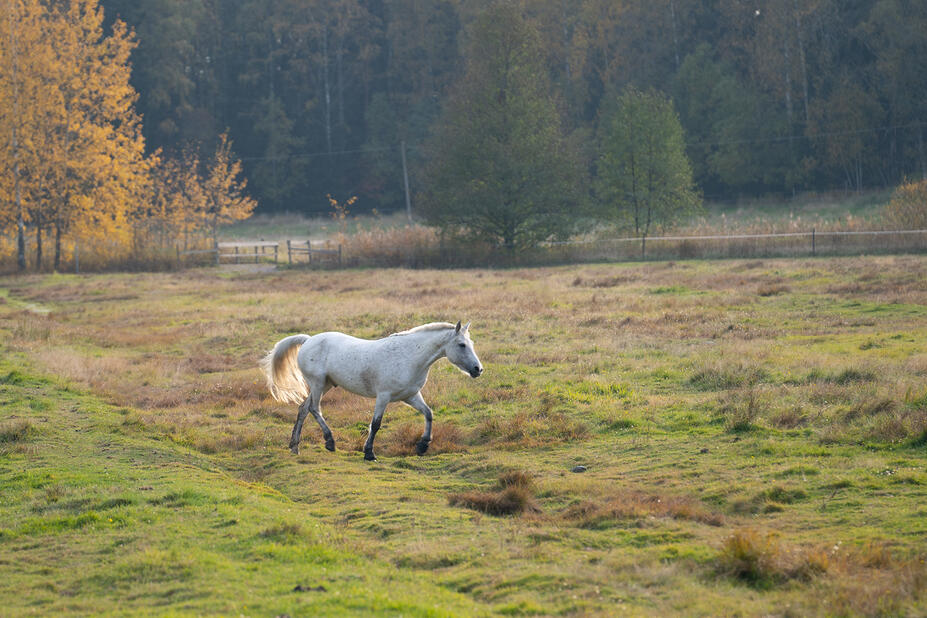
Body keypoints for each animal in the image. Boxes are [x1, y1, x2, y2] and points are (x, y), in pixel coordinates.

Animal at [260, 322, 482, 458]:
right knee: (314, 409)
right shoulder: (383, 397)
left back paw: (294, 447)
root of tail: (308, 340)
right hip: (317, 383)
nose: (478, 369)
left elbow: (429, 414)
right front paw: (369, 453)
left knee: (303, 409)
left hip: (326, 384)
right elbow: (375, 424)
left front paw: (423, 445)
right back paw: (330, 442)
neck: (409, 356)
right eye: (461, 345)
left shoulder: (410, 396)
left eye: (471, 343)